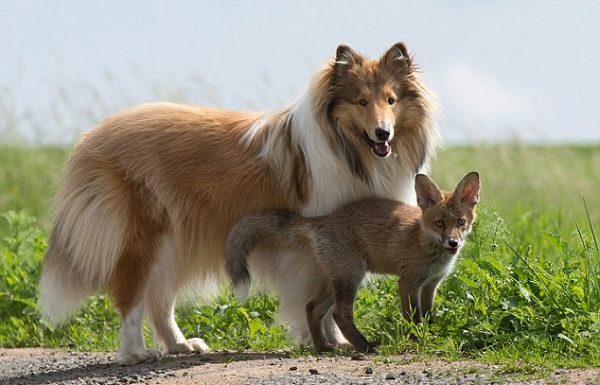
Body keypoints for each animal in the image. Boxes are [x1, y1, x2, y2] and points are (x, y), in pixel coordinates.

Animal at [38, 42, 440, 364]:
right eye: (361, 101)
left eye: (391, 100)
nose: (383, 133)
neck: (348, 146)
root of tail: (93, 135)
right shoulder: (322, 241)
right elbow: (324, 302)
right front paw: (330, 341)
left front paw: (329, 341)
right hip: (142, 235)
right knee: (131, 297)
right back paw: (136, 352)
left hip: (175, 241)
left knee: (159, 298)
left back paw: (180, 345)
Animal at [225, 172, 478, 352]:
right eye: (439, 223)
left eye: (460, 222)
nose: (453, 243)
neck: (425, 242)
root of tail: (323, 220)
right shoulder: (408, 282)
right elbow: (413, 318)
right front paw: (415, 340)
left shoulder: (431, 284)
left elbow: (427, 315)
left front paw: (431, 335)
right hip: (351, 276)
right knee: (339, 314)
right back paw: (364, 346)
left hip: (336, 280)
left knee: (312, 307)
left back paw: (322, 347)